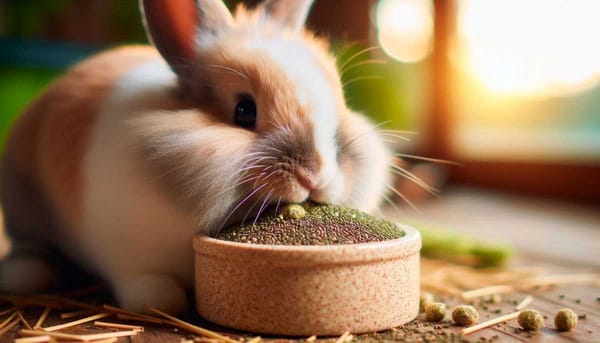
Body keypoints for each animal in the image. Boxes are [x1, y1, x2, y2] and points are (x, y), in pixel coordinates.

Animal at [0, 0, 394, 314]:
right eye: (244, 111)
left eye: (339, 103)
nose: (316, 176)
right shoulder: (127, 256)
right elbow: (150, 288)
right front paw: (165, 299)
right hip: (24, 209)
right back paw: (24, 275)